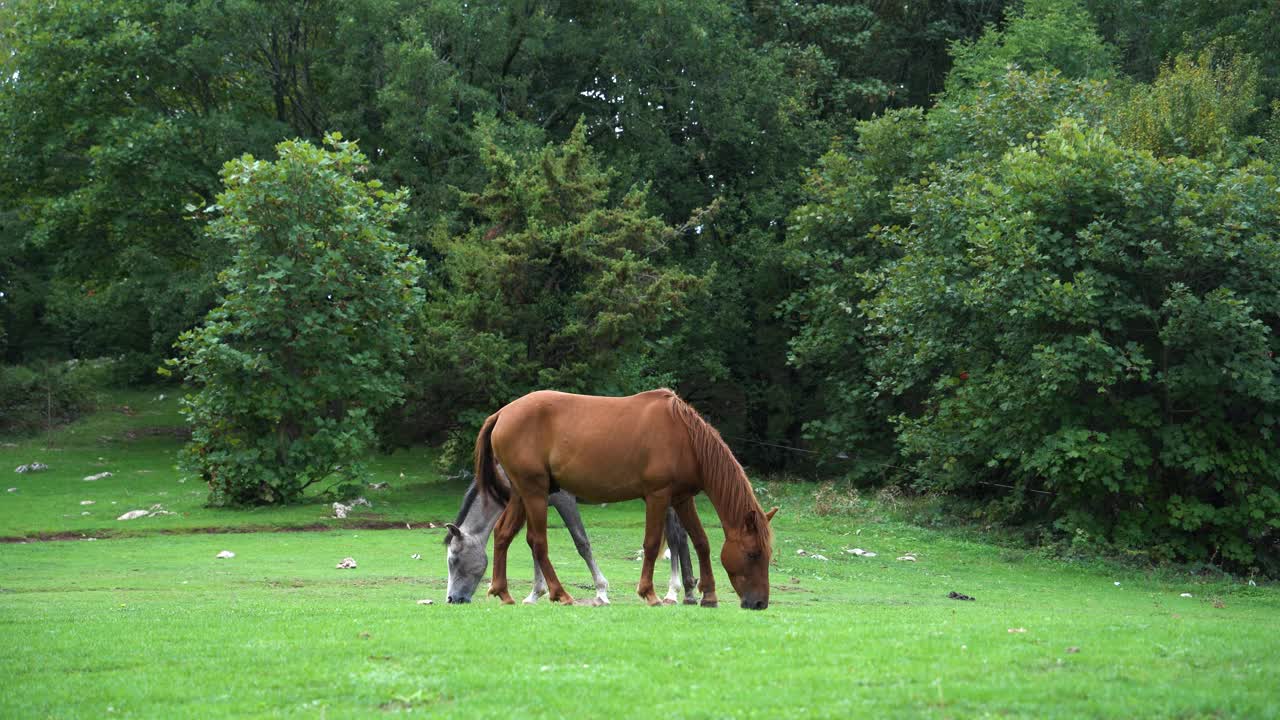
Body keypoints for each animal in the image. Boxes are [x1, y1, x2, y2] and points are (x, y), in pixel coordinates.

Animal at [445, 468, 696, 602]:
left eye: (453, 560)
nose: (452, 599)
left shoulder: (563, 500)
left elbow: (581, 542)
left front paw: (601, 591)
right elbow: (534, 545)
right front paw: (535, 594)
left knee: (675, 538)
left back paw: (674, 592)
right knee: (681, 536)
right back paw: (689, 591)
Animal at [473, 389, 778, 607]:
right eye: (753, 553)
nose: (760, 603)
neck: (685, 438)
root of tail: (502, 413)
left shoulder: (682, 499)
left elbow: (701, 542)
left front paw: (709, 595)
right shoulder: (657, 496)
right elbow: (652, 544)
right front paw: (649, 593)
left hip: (521, 495)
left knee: (503, 534)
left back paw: (503, 592)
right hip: (535, 493)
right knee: (538, 542)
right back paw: (560, 593)